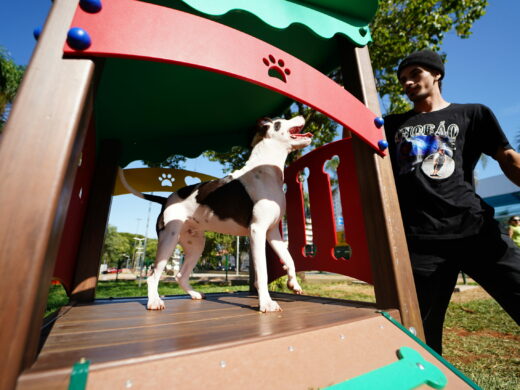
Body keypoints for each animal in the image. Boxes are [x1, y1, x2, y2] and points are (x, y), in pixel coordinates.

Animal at [120, 115, 310, 310]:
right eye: (280, 122)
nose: (301, 116)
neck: (265, 171)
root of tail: (166, 200)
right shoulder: (258, 231)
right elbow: (262, 273)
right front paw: (266, 303)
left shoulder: (272, 233)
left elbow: (289, 258)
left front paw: (293, 284)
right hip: (168, 240)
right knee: (153, 275)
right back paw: (154, 301)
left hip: (195, 245)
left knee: (180, 275)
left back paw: (194, 294)